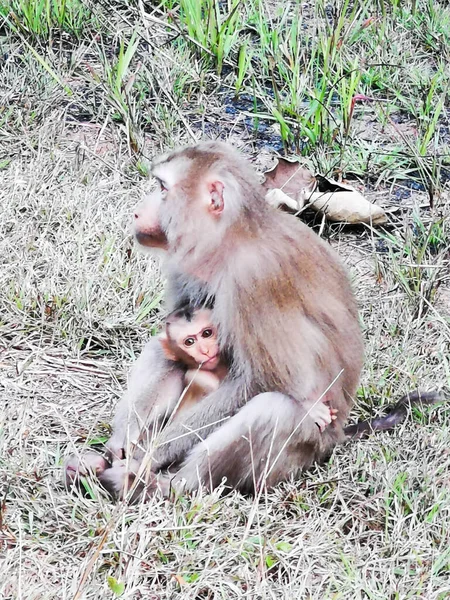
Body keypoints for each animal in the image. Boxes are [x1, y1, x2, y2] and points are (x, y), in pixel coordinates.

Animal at [102, 141, 362, 496]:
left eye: (162, 188)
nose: (138, 212)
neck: (232, 238)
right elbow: (171, 341)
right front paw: (124, 442)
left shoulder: (253, 279)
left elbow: (259, 382)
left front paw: (150, 455)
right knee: (163, 351)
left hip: (306, 448)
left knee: (273, 408)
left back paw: (173, 486)